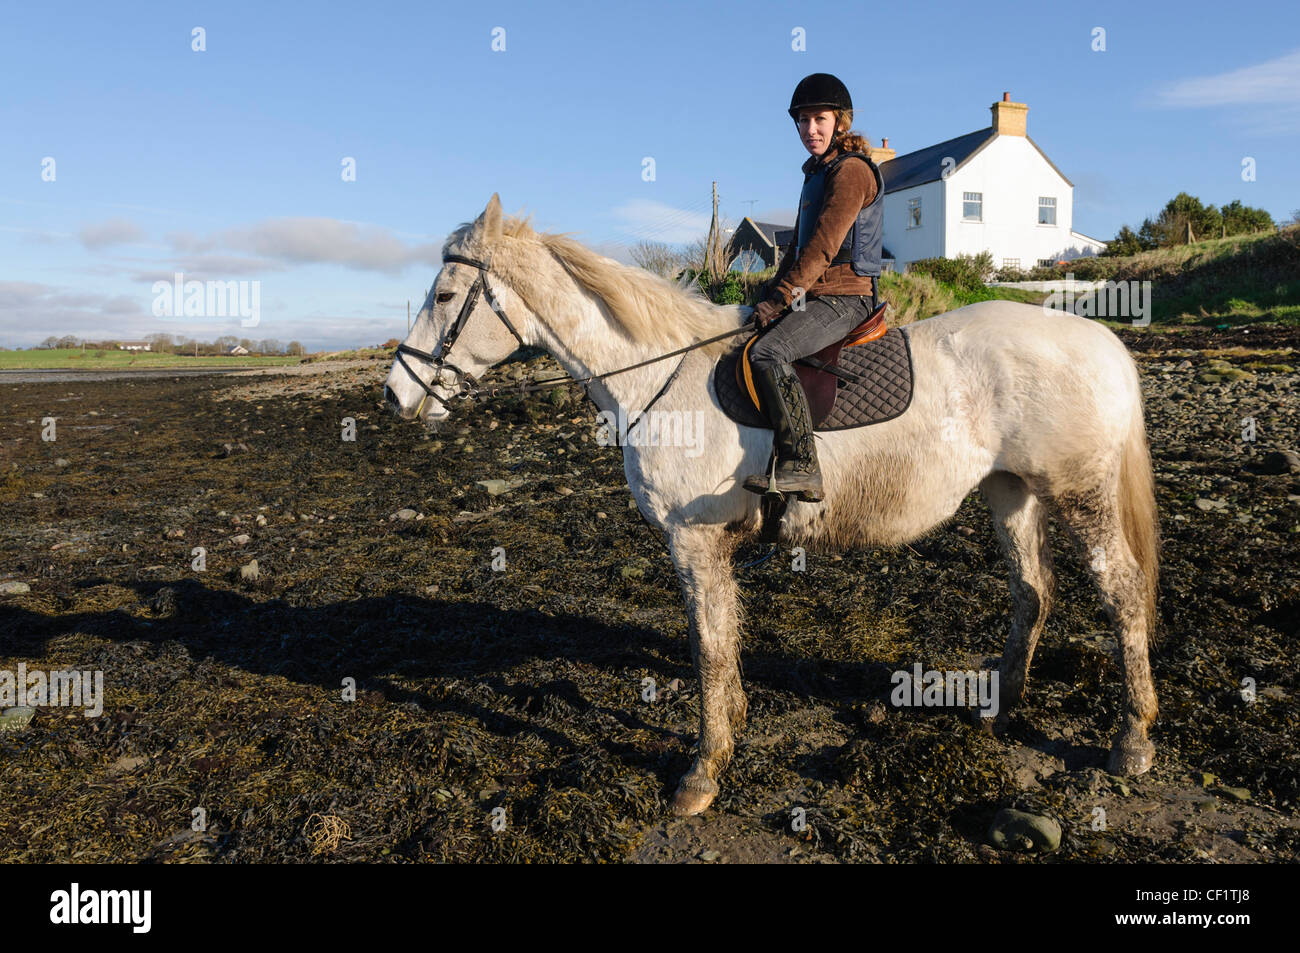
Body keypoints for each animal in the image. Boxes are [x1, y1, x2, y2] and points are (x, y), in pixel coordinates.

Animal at [383, 194, 1160, 817]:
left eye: (446, 296)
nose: (395, 395)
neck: (662, 375)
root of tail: (1098, 337)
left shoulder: (693, 539)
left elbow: (708, 645)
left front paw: (702, 773)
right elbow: (724, 640)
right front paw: (730, 729)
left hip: (1079, 493)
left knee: (1121, 592)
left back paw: (1132, 739)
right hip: (1012, 492)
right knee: (1033, 589)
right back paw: (1003, 707)